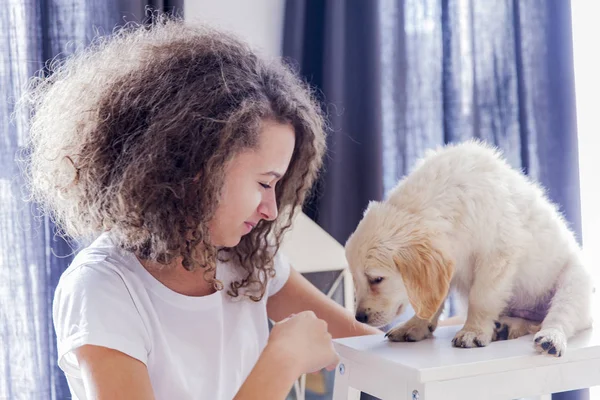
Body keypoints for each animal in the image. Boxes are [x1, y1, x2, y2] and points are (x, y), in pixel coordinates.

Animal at [344, 140, 592, 356]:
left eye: (376, 279)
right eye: (356, 280)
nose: (359, 318)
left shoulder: (497, 254)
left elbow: (481, 298)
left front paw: (472, 332)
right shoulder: (447, 265)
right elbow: (432, 299)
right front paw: (414, 326)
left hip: (573, 283)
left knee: (559, 316)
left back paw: (550, 338)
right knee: (532, 321)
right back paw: (506, 327)